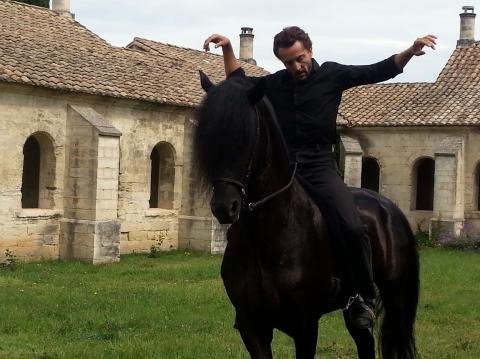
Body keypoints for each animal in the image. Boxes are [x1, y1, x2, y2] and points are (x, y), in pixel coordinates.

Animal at [193, 71, 418, 359]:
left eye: (246, 135)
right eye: (208, 134)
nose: (224, 207)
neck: (269, 234)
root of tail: (390, 207)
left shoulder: (305, 326)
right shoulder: (252, 325)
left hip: (395, 296)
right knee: (365, 343)